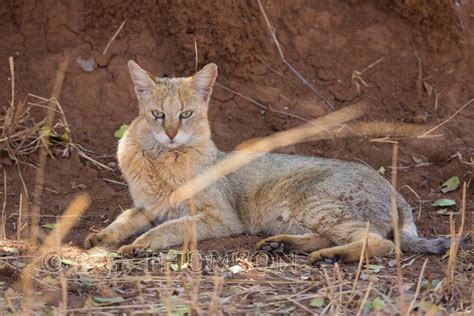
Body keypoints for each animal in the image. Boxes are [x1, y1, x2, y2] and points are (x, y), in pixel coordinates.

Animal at [83, 61, 450, 262]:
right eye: (158, 115)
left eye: (185, 115)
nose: (171, 133)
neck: (161, 159)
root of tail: (395, 190)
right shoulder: (146, 207)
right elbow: (123, 219)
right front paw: (102, 236)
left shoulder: (219, 218)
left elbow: (171, 226)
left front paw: (140, 244)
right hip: (308, 216)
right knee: (343, 237)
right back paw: (282, 245)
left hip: (313, 205)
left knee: (381, 243)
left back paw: (329, 256)